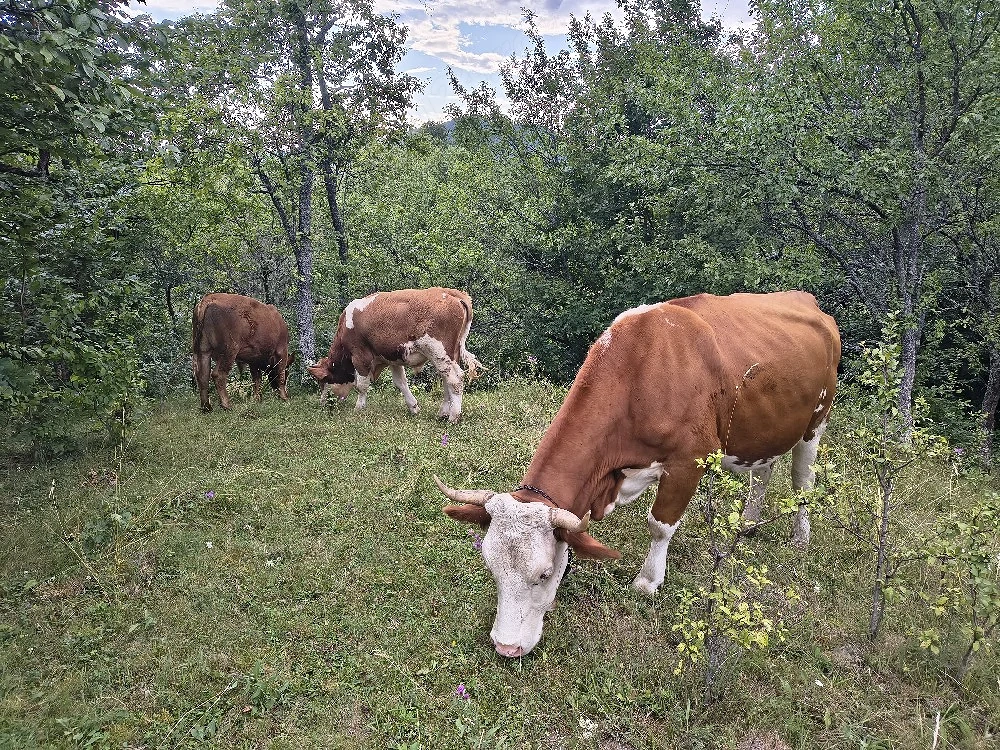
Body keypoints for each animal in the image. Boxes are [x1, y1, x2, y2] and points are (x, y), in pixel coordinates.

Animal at [307, 288, 482, 423]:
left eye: (324, 380)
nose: (322, 403)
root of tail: (450, 292)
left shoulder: (360, 356)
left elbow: (361, 385)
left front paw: (358, 408)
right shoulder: (392, 358)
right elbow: (400, 383)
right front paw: (413, 407)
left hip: (438, 351)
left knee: (455, 379)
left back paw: (453, 417)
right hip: (449, 354)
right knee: (446, 379)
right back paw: (443, 413)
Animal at [434, 291, 841, 657]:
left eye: (544, 574)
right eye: (492, 568)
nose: (506, 647)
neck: (640, 372)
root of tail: (806, 299)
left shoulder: (689, 460)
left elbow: (659, 525)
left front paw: (648, 581)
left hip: (816, 423)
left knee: (803, 480)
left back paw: (800, 537)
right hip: (764, 430)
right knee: (763, 471)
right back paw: (748, 523)